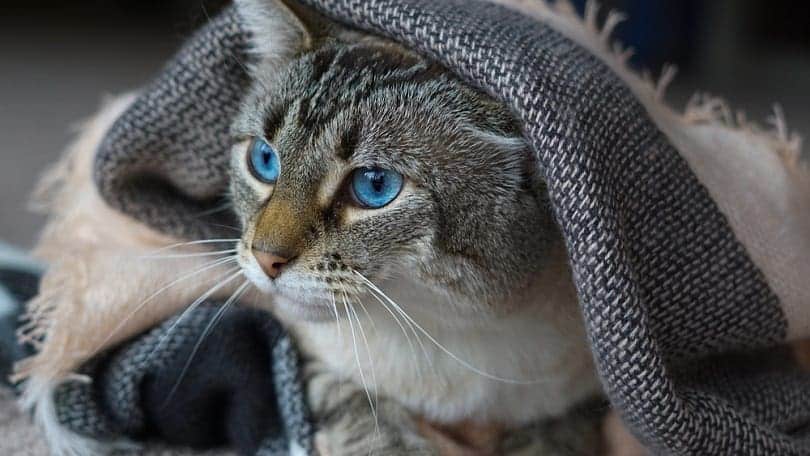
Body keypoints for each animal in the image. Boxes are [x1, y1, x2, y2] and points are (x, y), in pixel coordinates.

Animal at [227, 0, 600, 450]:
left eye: (374, 185)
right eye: (264, 160)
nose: (266, 259)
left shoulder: (581, 393)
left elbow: (556, 435)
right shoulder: (290, 346)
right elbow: (351, 404)